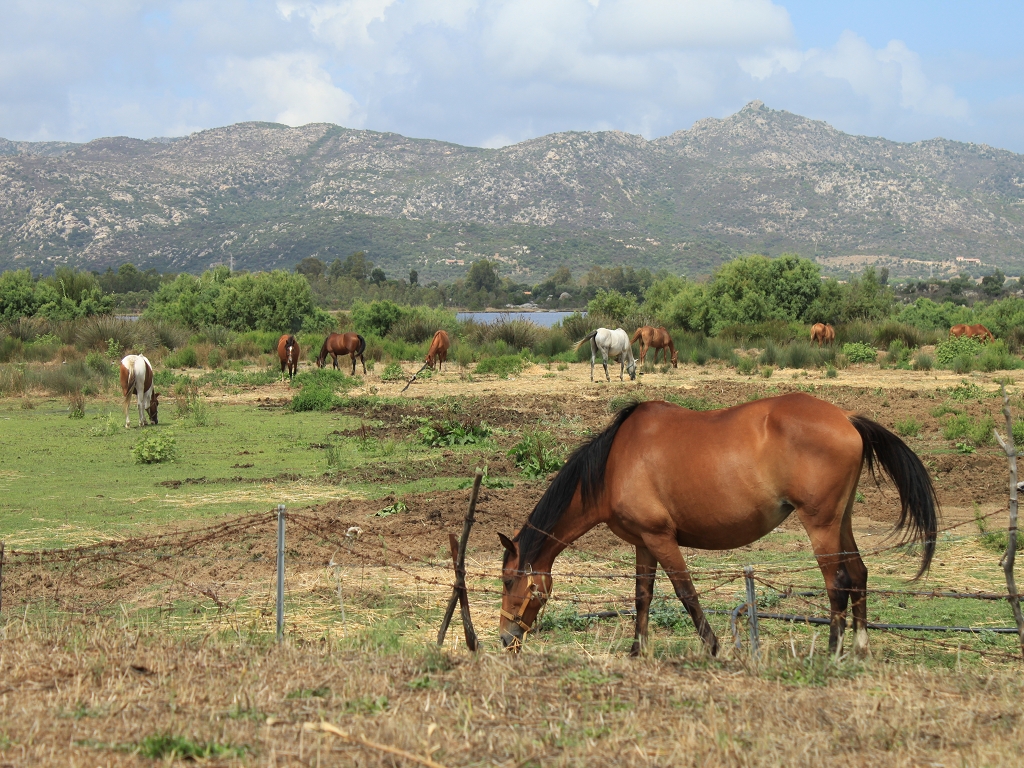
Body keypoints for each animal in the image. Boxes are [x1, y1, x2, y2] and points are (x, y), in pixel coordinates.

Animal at [495, 397, 937, 663]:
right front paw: (637, 650)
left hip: (821, 525)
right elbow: (642, 596)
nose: (504, 638)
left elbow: (686, 593)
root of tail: (846, 418)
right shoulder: (643, 543)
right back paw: (861, 647)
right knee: (859, 574)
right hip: (841, 521)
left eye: (507, 581)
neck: (612, 465)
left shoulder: (661, 538)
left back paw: (832, 651)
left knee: (838, 582)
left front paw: (713, 646)